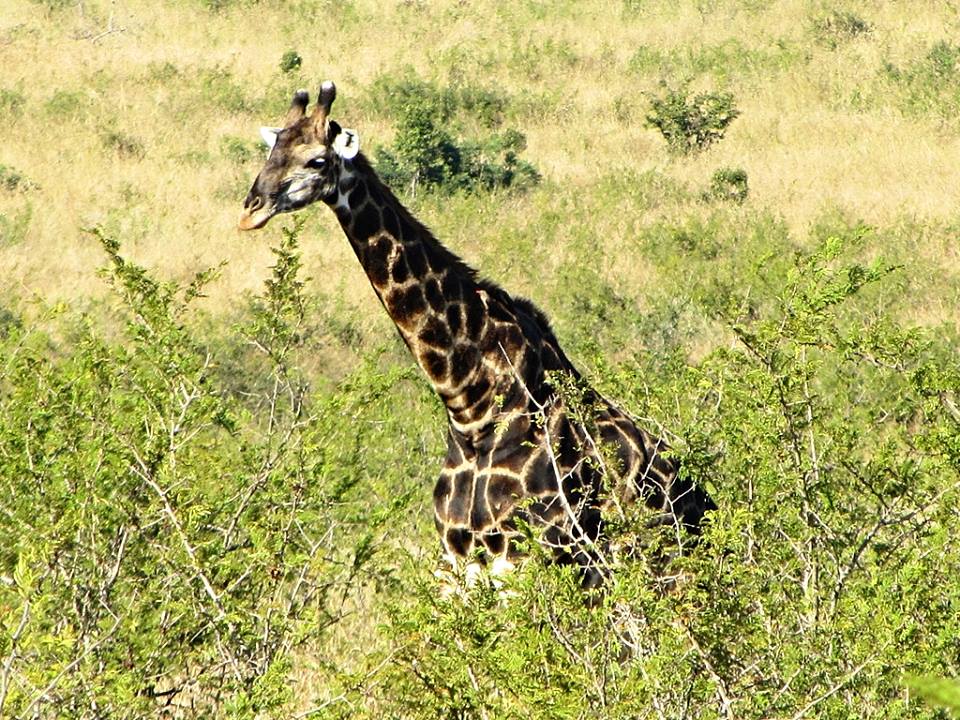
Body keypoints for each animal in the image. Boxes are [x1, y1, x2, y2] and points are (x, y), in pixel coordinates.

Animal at [238, 81, 716, 589]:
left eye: (317, 161)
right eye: (271, 152)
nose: (251, 210)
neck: (470, 408)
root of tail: (704, 506)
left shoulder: (526, 560)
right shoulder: (456, 563)